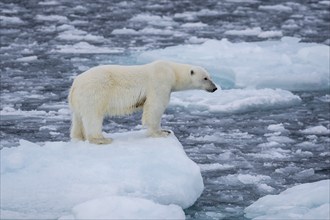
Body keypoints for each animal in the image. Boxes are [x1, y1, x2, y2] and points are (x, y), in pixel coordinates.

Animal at [67, 60, 217, 144]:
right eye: (205, 78)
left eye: (210, 77)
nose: (214, 88)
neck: (172, 71)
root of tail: (75, 84)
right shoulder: (160, 82)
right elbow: (155, 107)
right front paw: (162, 132)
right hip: (95, 91)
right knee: (93, 116)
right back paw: (101, 139)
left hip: (79, 99)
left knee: (78, 118)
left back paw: (80, 137)